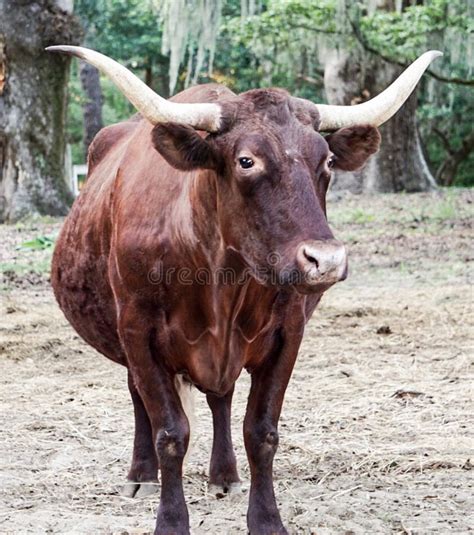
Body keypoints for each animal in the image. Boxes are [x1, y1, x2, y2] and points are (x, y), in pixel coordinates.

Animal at [47, 47, 440, 535]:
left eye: (327, 161)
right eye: (247, 161)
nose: (326, 259)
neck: (220, 281)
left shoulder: (287, 335)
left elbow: (261, 431)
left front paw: (267, 519)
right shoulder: (138, 332)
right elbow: (170, 433)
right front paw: (171, 520)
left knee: (221, 398)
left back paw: (224, 476)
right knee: (139, 396)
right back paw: (141, 476)